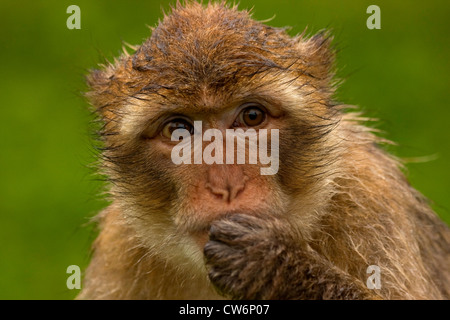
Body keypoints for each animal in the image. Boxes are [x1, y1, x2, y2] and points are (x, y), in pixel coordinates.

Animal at [78, 1, 450, 300]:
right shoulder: (119, 249)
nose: (226, 184)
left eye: (252, 117)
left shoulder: (370, 197)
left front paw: (277, 267)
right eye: (178, 130)